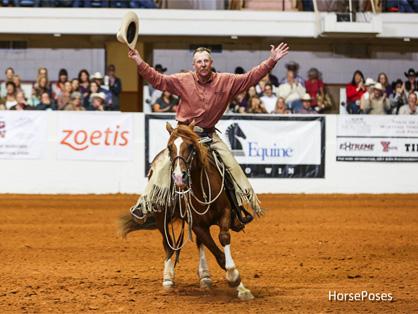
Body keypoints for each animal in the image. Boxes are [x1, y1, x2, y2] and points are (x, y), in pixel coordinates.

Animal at [119, 122, 253, 300]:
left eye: (190, 146)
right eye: (170, 147)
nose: (178, 177)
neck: (201, 187)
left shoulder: (224, 213)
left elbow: (223, 238)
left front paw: (241, 287)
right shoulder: (196, 225)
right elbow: (219, 255)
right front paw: (234, 278)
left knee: (198, 244)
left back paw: (205, 277)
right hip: (162, 218)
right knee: (169, 245)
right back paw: (168, 278)